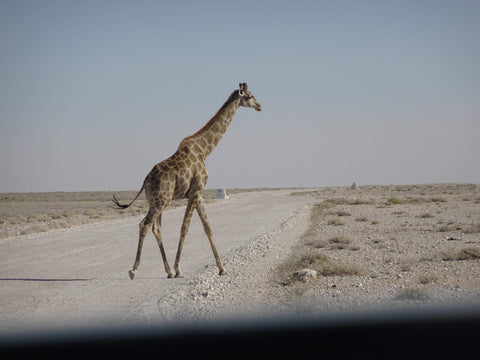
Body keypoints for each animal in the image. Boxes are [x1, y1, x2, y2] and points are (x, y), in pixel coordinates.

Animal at [113, 83, 262, 278]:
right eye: (250, 96)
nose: (259, 106)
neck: (205, 149)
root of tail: (145, 180)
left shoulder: (197, 194)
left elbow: (207, 227)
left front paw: (221, 268)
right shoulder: (196, 190)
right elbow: (185, 227)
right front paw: (179, 268)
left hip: (155, 201)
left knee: (156, 229)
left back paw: (167, 271)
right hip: (161, 201)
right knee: (144, 225)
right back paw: (134, 270)